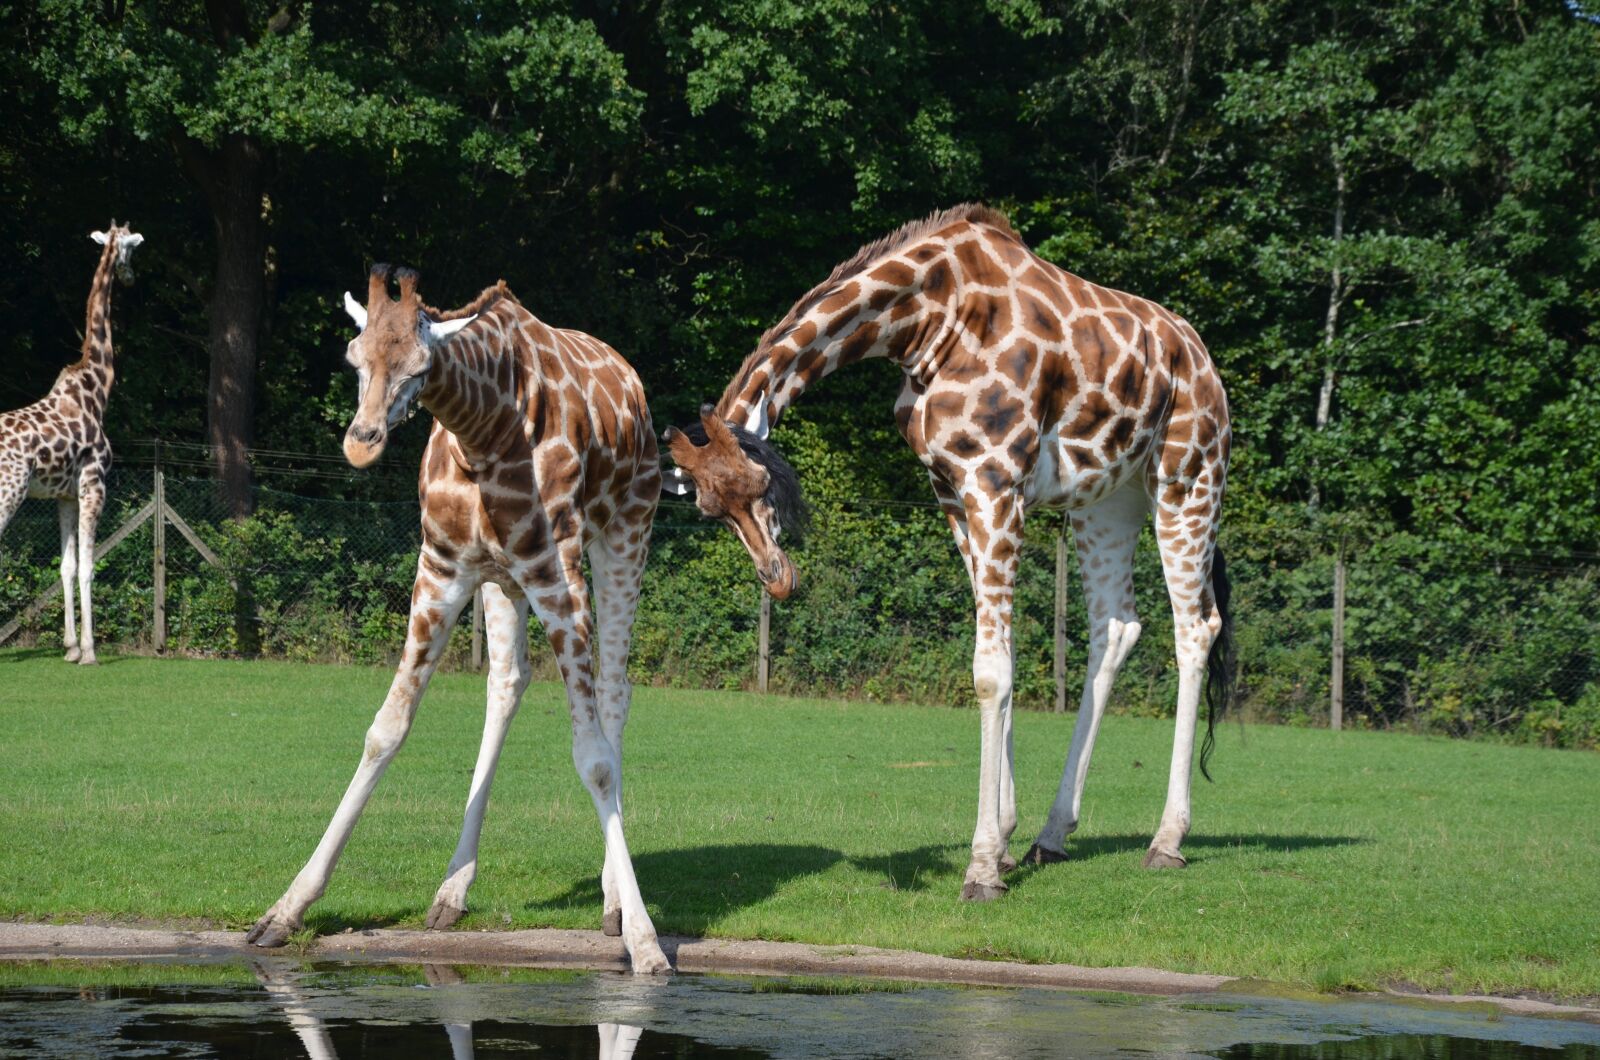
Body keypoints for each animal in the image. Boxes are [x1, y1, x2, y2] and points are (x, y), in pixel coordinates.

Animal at [0, 221, 144, 666]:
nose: (130, 278)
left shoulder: (64, 495)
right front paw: (90, 651)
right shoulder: (95, 484)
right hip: (10, 491)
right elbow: (88, 566)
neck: (97, 389)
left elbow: (65, 566)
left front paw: (69, 647)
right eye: (132, 248)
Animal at [246, 264, 670, 974]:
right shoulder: (443, 570)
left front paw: (646, 943)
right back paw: (452, 891)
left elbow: (593, 759)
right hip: (501, 582)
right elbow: (386, 729)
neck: (482, 434)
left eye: (420, 366)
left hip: (624, 535)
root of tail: (632, 382)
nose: (361, 443)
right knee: (507, 682)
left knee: (615, 689)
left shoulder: (556, 574)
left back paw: (613, 904)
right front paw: (285, 910)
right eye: (354, 356)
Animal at [665, 204, 1235, 901]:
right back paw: (1053, 834)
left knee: (1196, 626)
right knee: (1115, 626)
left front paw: (983, 865)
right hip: (1107, 499)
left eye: (756, 485)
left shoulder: (994, 480)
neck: (926, 321)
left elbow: (990, 670)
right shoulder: (952, 490)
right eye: (708, 510)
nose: (778, 579)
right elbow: (1004, 654)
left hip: (1188, 475)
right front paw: (1009, 837)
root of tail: (1203, 361)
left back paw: (1167, 839)